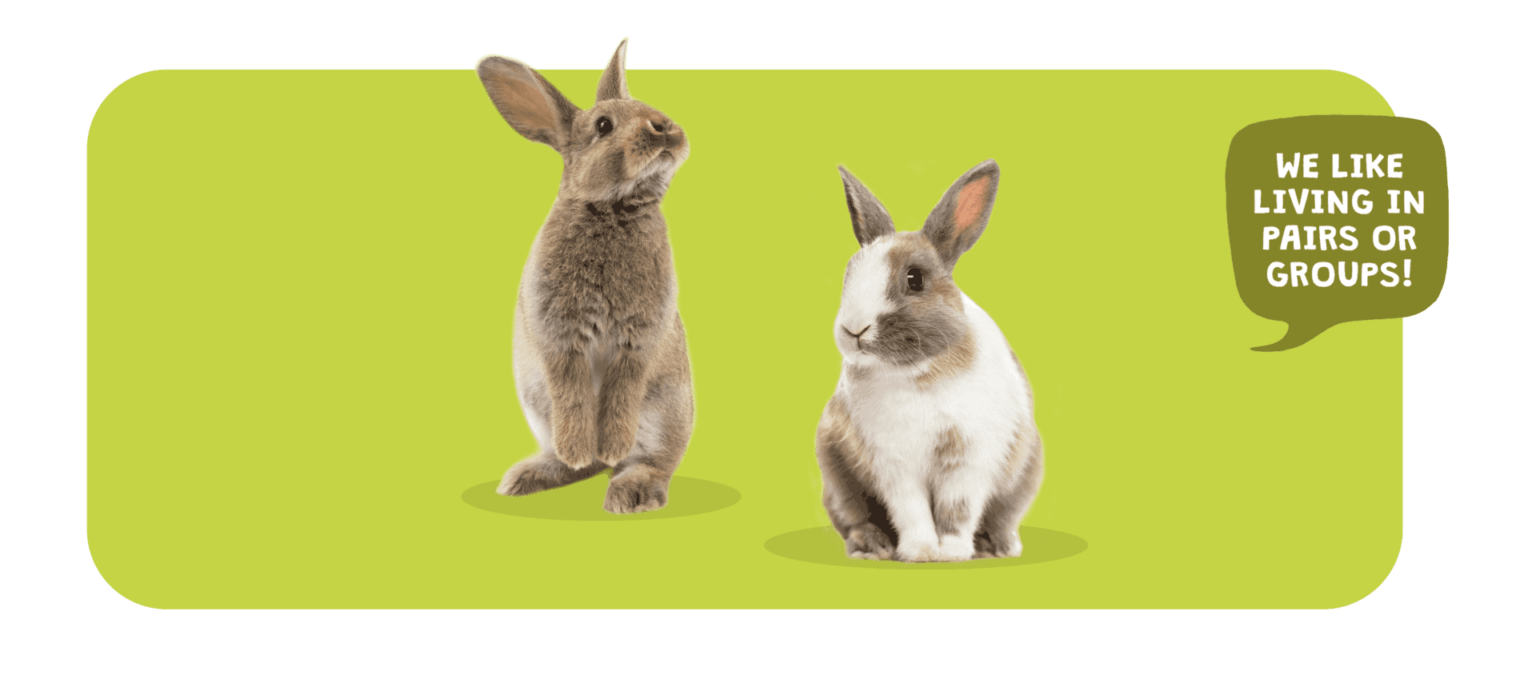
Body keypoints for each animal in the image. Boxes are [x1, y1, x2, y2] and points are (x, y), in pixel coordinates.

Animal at [475, 37, 695, 514]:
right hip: (538, 402)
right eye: (603, 125)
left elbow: (621, 391)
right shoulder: (559, 337)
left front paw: (611, 446)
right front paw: (580, 449)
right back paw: (541, 473)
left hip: (667, 410)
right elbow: (573, 395)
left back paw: (628, 489)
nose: (665, 127)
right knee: (583, 461)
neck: (613, 208)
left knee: (653, 461)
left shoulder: (638, 338)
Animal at [816, 160, 1044, 562]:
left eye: (915, 278)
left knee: (1003, 516)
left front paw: (951, 552)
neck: (918, 372)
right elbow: (912, 509)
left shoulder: (968, 458)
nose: (853, 329)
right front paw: (921, 551)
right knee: (854, 517)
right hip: (834, 471)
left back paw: (996, 546)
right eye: (849, 274)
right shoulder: (893, 462)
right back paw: (873, 547)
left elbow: (958, 509)